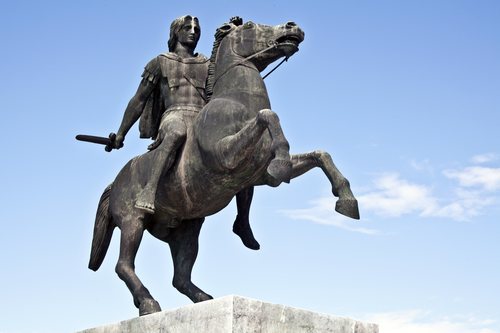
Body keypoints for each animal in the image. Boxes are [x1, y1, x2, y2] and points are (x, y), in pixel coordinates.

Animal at [87, 19, 360, 316]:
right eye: (250, 25)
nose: (292, 27)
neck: (237, 102)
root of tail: (115, 182)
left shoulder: (258, 175)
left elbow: (320, 155)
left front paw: (346, 200)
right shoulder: (224, 156)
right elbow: (268, 116)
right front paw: (282, 160)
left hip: (187, 230)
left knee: (180, 277)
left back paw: (204, 297)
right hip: (132, 221)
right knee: (124, 265)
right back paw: (148, 302)